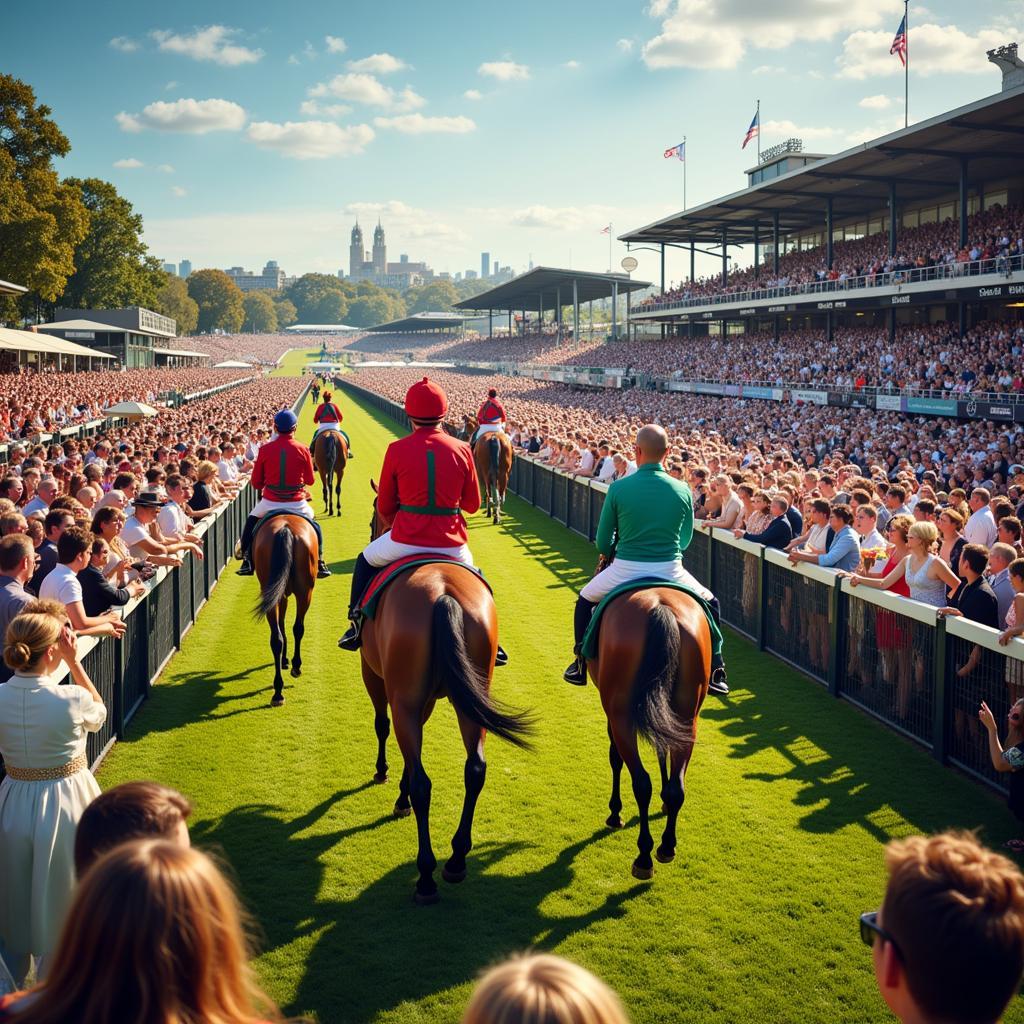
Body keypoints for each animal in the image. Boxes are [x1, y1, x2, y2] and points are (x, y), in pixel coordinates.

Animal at [249, 520, 317, 704]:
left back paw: (278, 691)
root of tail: (285, 529)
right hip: (305, 592)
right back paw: (295, 668)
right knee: (298, 628)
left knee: (276, 637)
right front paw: (288, 661)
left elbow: (281, 625)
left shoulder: (280, 593)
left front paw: (284, 660)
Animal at [358, 491, 532, 901]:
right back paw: (456, 860)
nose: (372, 528)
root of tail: (443, 595)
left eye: (374, 513)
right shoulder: (425, 700)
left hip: (404, 696)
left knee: (424, 783)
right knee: (475, 769)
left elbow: (382, 724)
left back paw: (426, 876)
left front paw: (385, 776)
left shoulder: (375, 675)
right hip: (473, 698)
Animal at [589, 585, 708, 880]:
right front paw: (664, 801)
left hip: (620, 713)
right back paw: (666, 846)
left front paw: (615, 812)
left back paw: (643, 857)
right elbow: (662, 747)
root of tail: (661, 608)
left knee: (641, 782)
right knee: (677, 786)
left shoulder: (611, 710)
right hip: (688, 713)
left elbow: (615, 757)